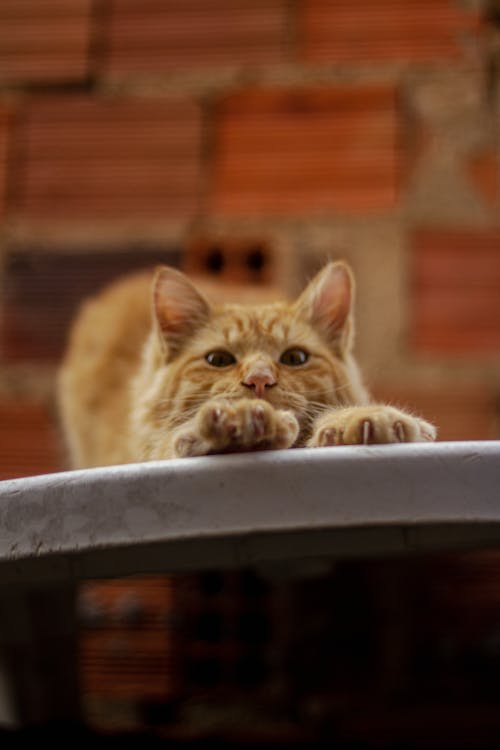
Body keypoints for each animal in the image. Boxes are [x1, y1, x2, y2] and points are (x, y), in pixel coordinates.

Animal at [57, 260, 434, 470]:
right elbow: (172, 441)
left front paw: (360, 421)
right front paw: (238, 423)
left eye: (295, 358)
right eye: (219, 360)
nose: (259, 380)